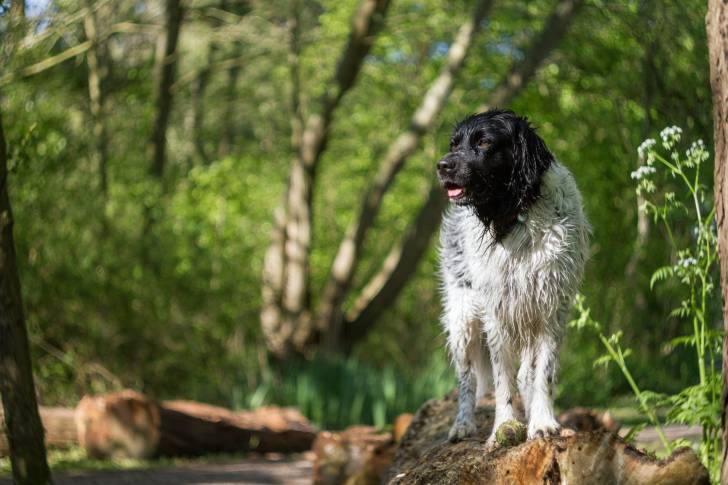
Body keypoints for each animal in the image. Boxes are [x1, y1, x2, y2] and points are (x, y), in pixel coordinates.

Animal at [437, 109, 589, 444]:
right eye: (454, 144)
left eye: (484, 142)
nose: (442, 165)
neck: (516, 216)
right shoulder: (497, 312)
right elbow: (501, 378)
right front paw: (503, 427)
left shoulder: (550, 309)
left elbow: (543, 373)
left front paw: (542, 422)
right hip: (463, 317)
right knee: (467, 379)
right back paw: (462, 425)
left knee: (526, 374)